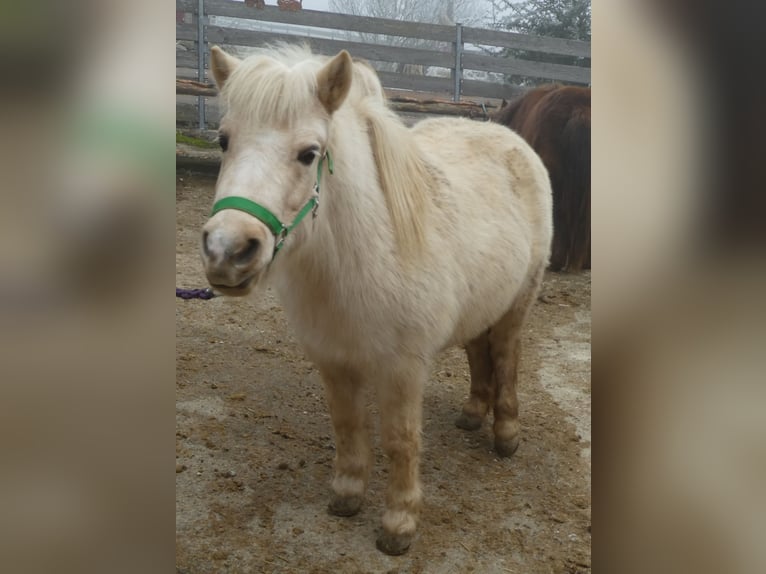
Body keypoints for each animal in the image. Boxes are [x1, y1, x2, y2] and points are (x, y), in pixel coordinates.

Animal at [201, 45, 556, 560]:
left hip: (516, 305)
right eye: (224, 141)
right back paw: (473, 414)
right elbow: (348, 426)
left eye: (309, 154)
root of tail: (507, 136)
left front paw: (399, 524)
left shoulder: (402, 369)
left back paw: (505, 435)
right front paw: (348, 494)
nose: (227, 251)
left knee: (507, 356)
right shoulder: (333, 361)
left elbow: (400, 440)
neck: (362, 256)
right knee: (478, 353)